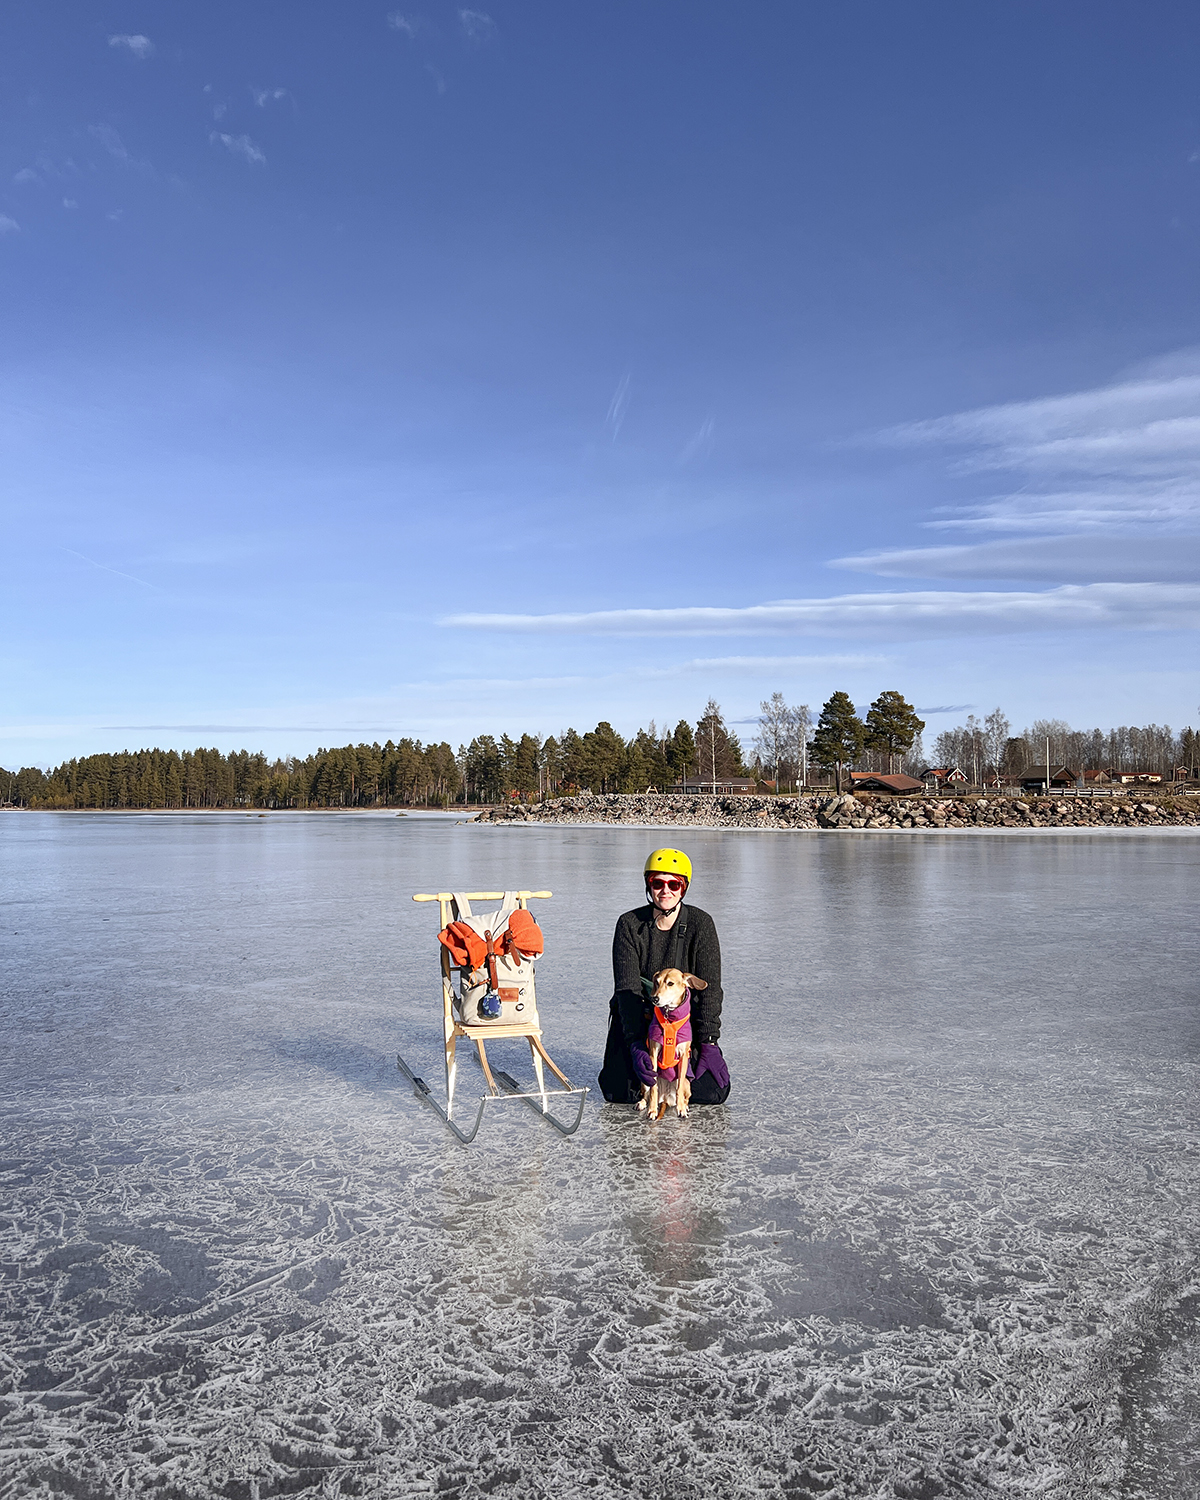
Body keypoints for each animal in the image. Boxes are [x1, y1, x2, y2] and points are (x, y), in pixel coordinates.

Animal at [636, 966, 702, 1122]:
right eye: (657, 982)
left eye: (670, 983)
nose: (655, 998)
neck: (669, 1018)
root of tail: (665, 1098)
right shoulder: (653, 1054)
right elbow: (653, 1089)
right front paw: (652, 1110)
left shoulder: (683, 1056)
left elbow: (679, 1091)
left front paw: (681, 1109)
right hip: (643, 1080)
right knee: (647, 1093)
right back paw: (643, 1103)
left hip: (687, 1083)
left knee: (684, 1095)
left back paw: (684, 1105)